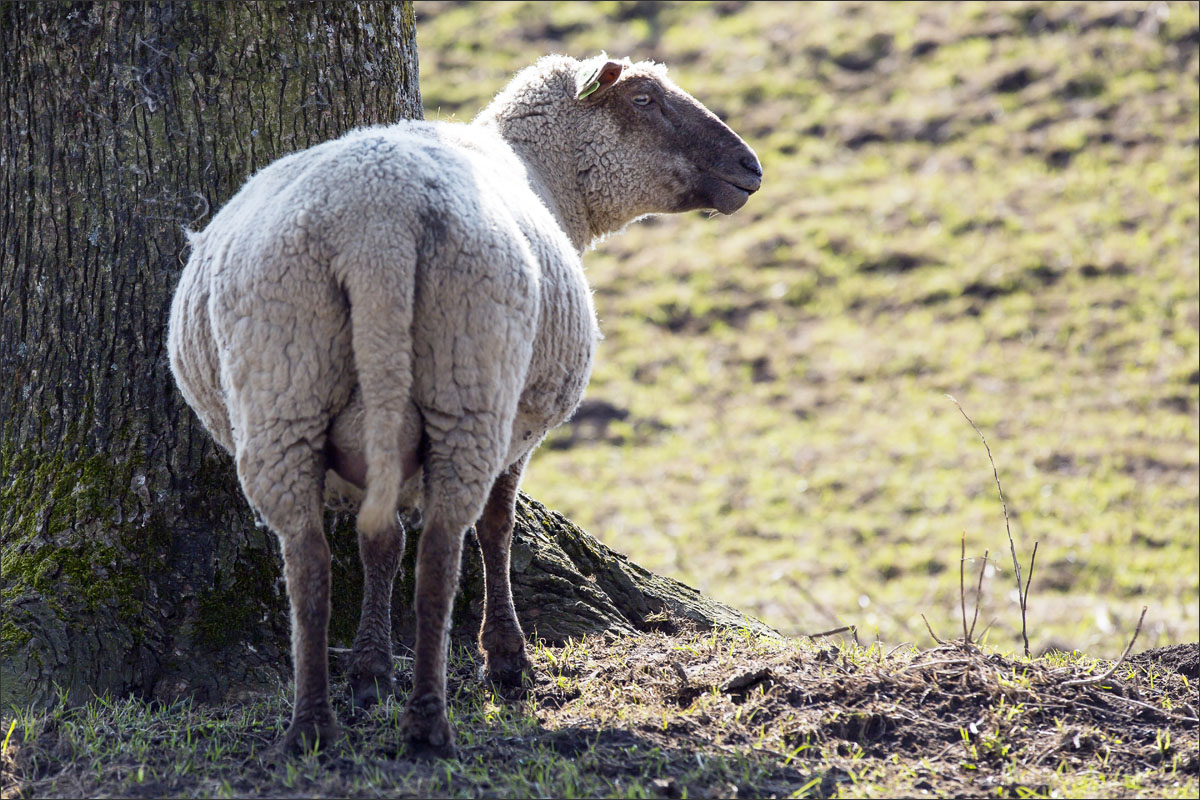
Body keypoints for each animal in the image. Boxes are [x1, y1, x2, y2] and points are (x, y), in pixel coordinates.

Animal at [165, 51, 763, 758]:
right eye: (644, 99)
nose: (751, 167)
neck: (546, 173)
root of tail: (378, 227)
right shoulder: (519, 424)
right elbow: (496, 528)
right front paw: (505, 658)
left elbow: (380, 543)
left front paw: (370, 671)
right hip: (466, 385)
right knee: (442, 556)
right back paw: (429, 722)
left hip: (283, 386)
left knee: (310, 563)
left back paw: (313, 726)